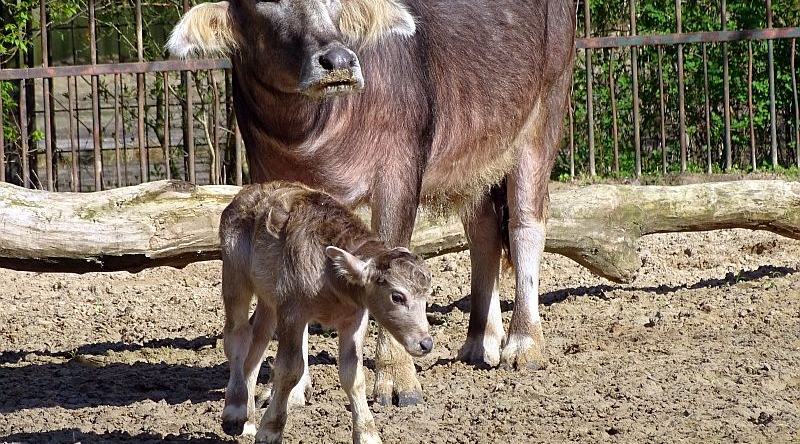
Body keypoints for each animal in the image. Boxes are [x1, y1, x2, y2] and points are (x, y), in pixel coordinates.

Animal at [169, 0, 576, 412]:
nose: (338, 61)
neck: (313, 128)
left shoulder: (399, 173)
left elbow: (392, 258)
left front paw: (396, 379)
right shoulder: (275, 180)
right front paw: (291, 388)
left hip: (544, 116)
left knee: (525, 225)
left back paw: (523, 346)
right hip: (476, 155)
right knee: (484, 234)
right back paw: (480, 342)